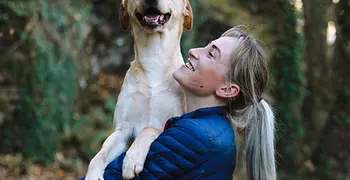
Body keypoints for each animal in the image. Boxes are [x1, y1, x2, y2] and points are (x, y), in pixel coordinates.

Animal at [85, 0, 194, 179]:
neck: (154, 59)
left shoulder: (172, 125)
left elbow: (148, 129)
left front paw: (132, 159)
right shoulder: (122, 129)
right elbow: (100, 153)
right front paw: (92, 174)